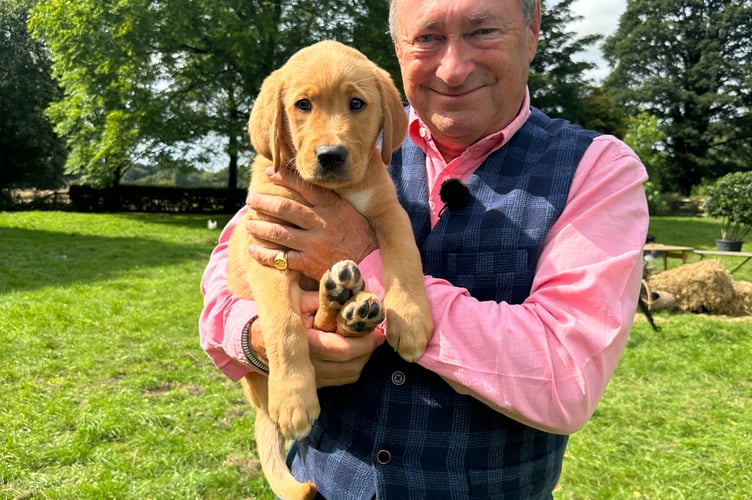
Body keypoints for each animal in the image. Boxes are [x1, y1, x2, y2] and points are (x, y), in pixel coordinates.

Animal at [226, 41, 432, 498]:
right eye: (303, 105)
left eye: (357, 104)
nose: (331, 156)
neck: (334, 191)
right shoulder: (268, 250)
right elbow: (284, 327)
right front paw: (294, 399)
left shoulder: (389, 212)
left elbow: (406, 259)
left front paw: (411, 319)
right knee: (313, 324)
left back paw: (352, 308)